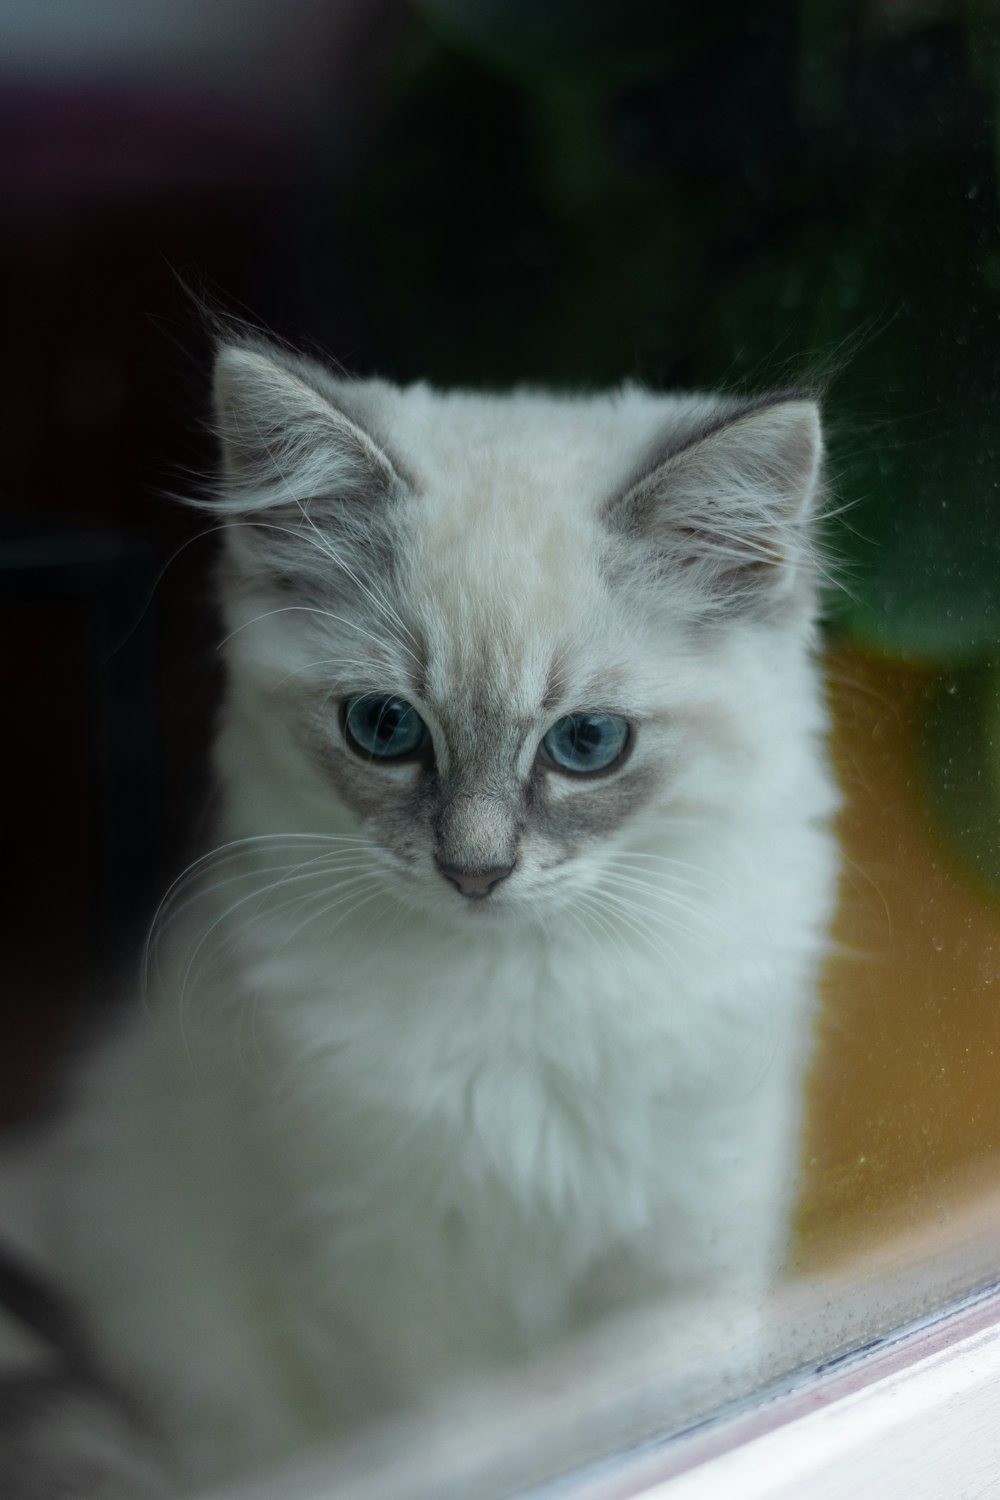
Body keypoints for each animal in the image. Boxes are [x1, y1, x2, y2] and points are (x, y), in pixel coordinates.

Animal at [7, 334, 839, 1494]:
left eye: (588, 745)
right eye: (385, 728)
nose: (475, 873)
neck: (519, 995)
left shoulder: (688, 1254)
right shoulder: (372, 1281)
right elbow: (457, 1442)